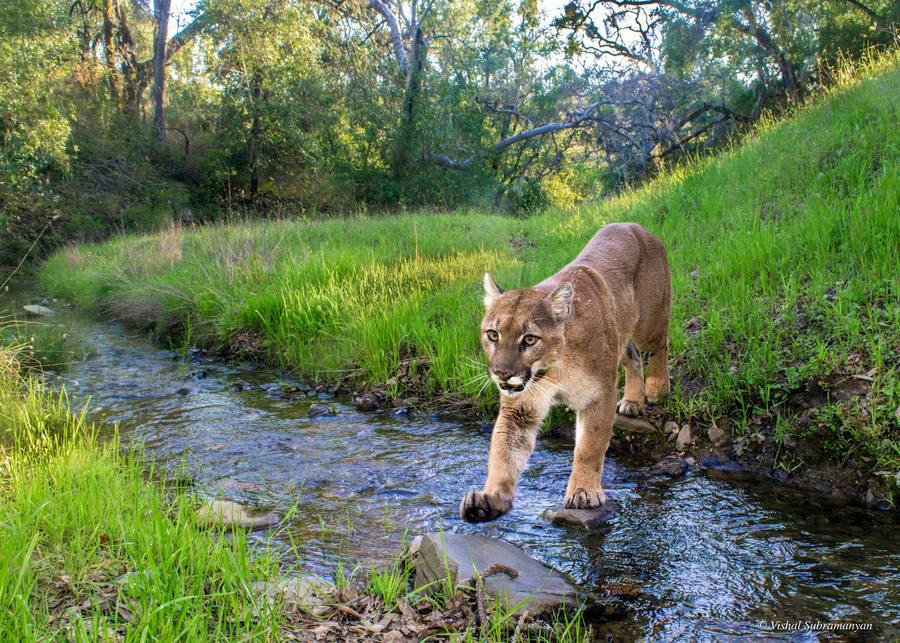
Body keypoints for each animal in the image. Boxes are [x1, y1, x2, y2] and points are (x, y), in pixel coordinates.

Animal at [460, 222, 671, 522]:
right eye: (493, 334)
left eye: (529, 339)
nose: (501, 373)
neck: (554, 368)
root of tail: (636, 225)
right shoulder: (521, 406)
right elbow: (504, 450)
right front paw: (491, 497)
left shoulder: (599, 395)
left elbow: (589, 447)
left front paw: (583, 492)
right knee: (631, 354)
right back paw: (632, 401)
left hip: (650, 322)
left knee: (661, 343)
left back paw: (656, 387)